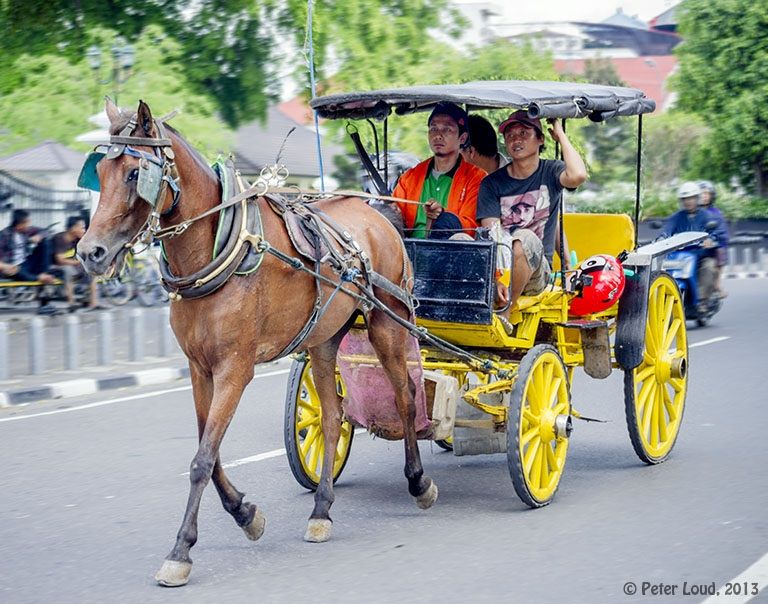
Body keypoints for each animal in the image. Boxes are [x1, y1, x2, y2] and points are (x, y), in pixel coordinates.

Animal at [78, 99, 438, 584]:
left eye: (136, 173)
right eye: (99, 171)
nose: (89, 252)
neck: (218, 250)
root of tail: (378, 215)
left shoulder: (235, 369)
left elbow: (201, 460)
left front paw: (181, 551)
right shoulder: (200, 369)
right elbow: (208, 453)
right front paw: (246, 514)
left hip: (388, 322)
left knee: (404, 398)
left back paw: (418, 482)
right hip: (323, 339)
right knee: (331, 417)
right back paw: (321, 509)